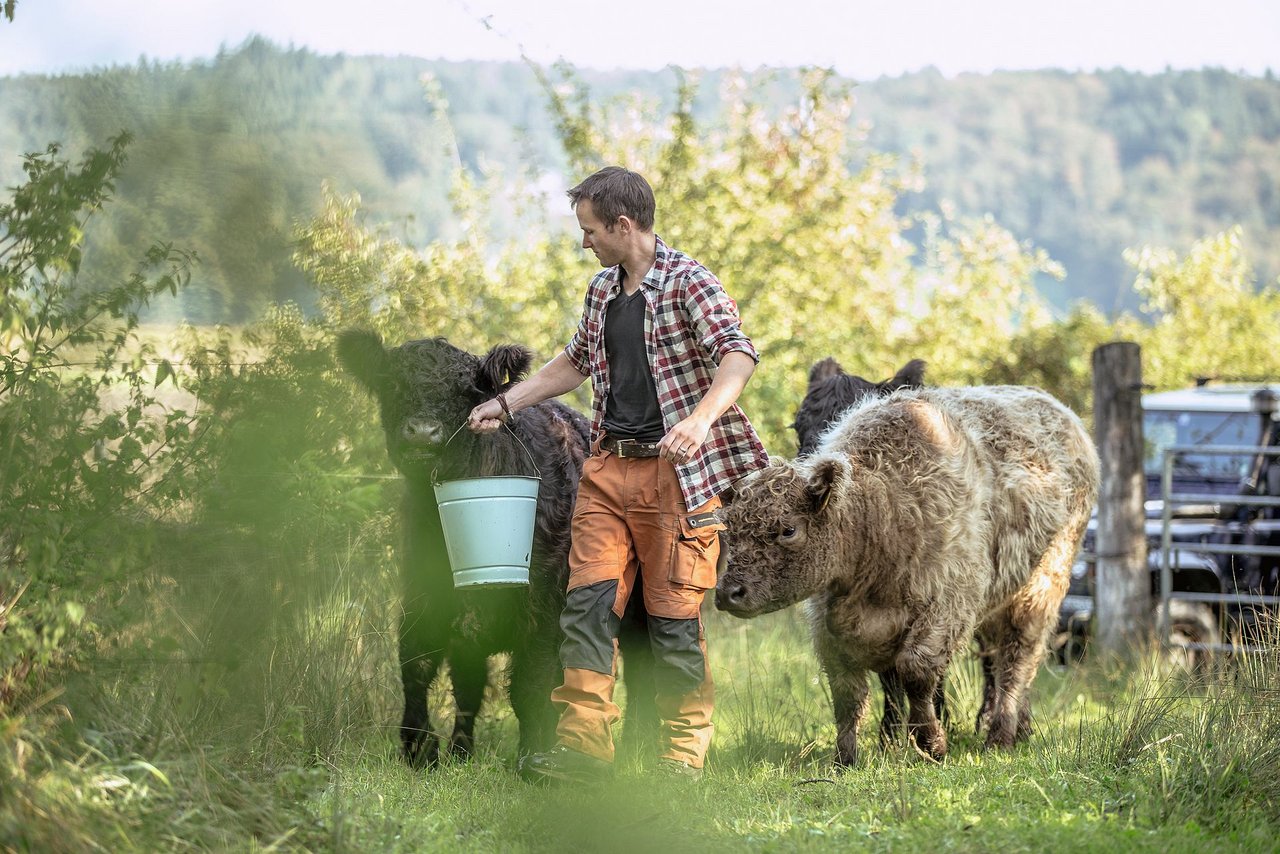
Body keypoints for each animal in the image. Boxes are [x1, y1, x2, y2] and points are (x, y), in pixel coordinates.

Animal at [721, 384, 1100, 763]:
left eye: (788, 530)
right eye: (730, 528)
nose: (729, 594)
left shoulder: (949, 604)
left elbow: (916, 672)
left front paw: (931, 742)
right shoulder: (829, 629)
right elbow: (847, 694)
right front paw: (845, 759)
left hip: (1041, 585)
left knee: (1018, 658)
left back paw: (1000, 736)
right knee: (1001, 657)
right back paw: (1019, 728)